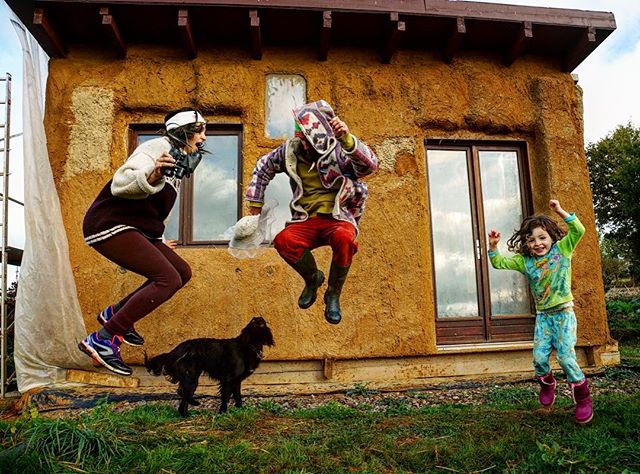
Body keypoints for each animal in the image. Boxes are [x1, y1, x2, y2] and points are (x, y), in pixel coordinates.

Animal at [144, 316, 274, 416]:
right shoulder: (229, 379)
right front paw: (222, 412)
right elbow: (226, 397)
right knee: (183, 394)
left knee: (182, 397)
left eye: (261, 322)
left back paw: (187, 415)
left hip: (190, 378)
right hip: (191, 378)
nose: (257, 317)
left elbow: (238, 396)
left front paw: (240, 410)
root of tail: (174, 351)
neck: (248, 345)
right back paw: (194, 405)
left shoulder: (237, 381)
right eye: (258, 322)